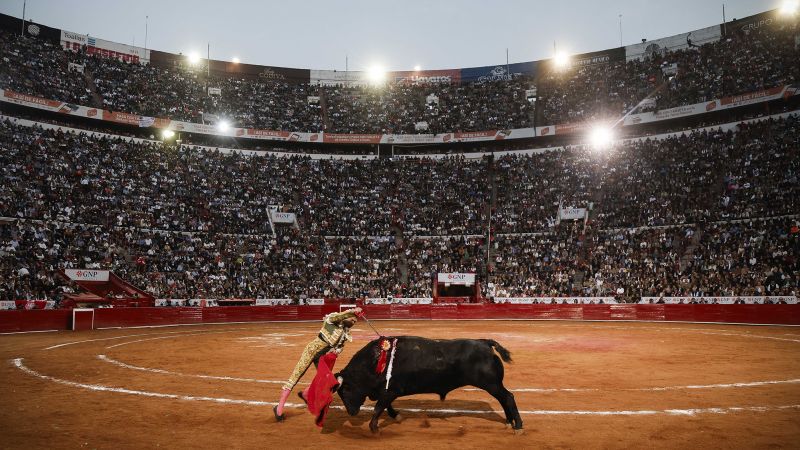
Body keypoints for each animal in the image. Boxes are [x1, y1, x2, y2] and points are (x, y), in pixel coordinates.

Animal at [332, 336, 524, 434]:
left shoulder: (390, 390)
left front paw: (374, 428)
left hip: (491, 383)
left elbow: (379, 407)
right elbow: (386, 406)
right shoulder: (388, 391)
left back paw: (518, 426)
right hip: (493, 384)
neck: (374, 361)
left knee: (508, 397)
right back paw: (509, 422)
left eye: (346, 389)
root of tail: (485, 343)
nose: (352, 412)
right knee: (504, 399)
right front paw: (396, 416)